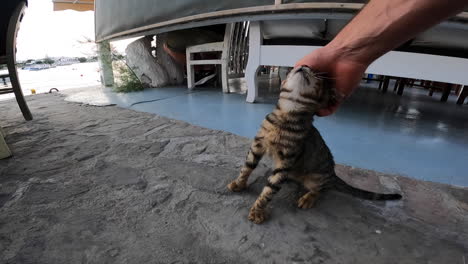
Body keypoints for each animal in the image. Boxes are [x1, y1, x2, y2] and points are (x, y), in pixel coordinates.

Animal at [228, 66, 402, 223]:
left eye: (318, 77)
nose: (305, 66)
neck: (286, 115)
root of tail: (332, 174)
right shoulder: (258, 144)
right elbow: (247, 167)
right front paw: (239, 183)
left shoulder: (286, 160)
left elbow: (270, 189)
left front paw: (258, 210)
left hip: (315, 177)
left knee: (320, 190)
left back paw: (308, 198)